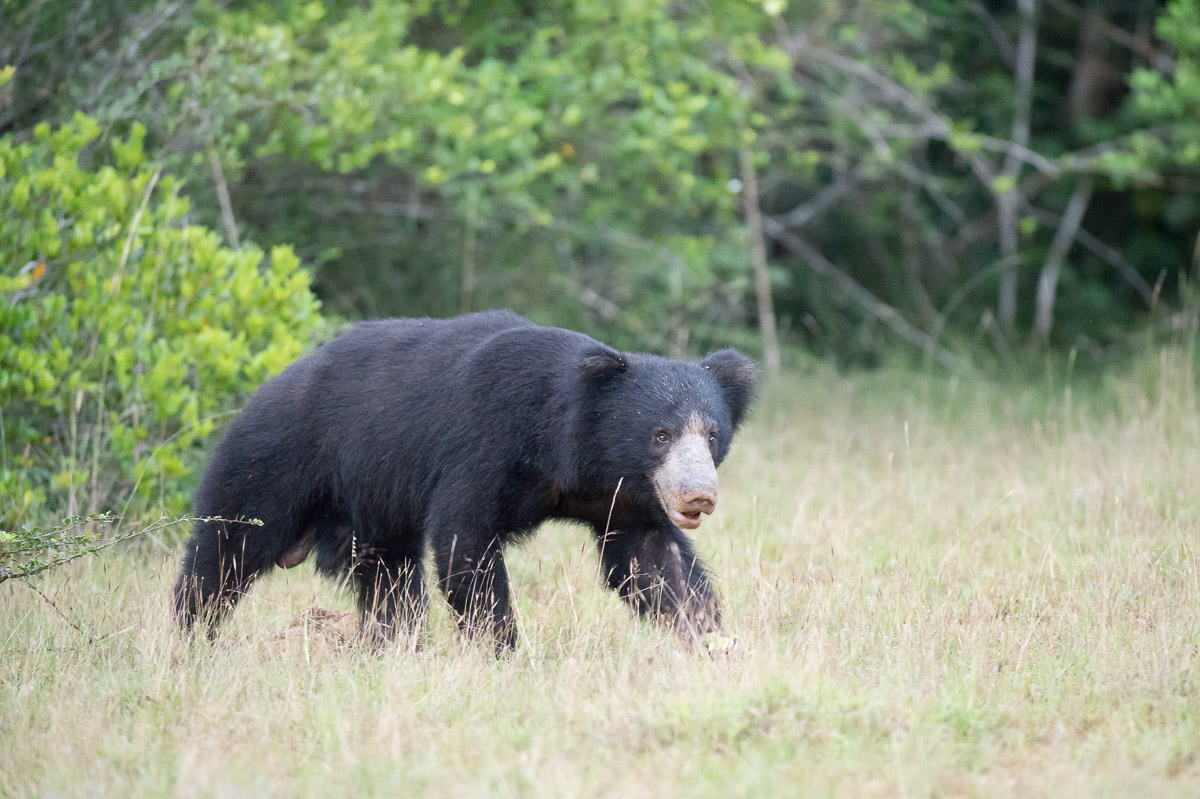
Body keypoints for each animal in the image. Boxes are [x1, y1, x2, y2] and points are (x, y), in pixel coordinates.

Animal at [174, 309, 753, 647]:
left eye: (711, 436)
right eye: (660, 435)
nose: (698, 497)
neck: (570, 451)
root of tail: (261, 392)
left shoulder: (623, 494)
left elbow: (652, 561)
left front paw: (708, 639)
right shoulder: (480, 448)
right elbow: (464, 543)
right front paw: (501, 650)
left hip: (371, 508)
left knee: (389, 577)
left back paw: (393, 644)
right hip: (275, 461)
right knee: (226, 549)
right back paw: (189, 635)